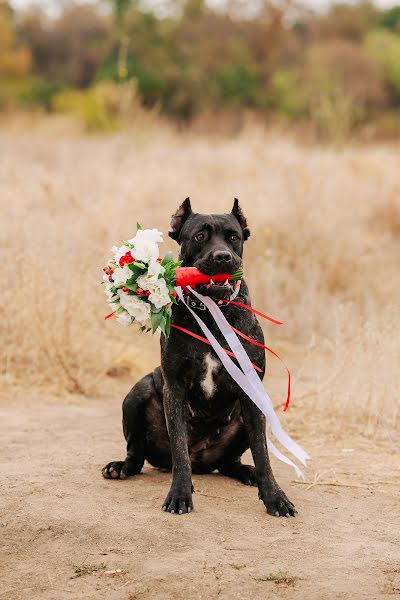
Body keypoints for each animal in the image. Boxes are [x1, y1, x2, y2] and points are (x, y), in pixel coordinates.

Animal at [102, 199, 296, 516]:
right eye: (200, 236)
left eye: (234, 237)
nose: (222, 257)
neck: (211, 311)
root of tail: (204, 461)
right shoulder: (175, 388)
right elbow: (180, 451)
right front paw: (180, 494)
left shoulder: (252, 391)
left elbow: (263, 453)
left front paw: (275, 496)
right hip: (137, 393)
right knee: (137, 453)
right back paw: (120, 467)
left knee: (230, 462)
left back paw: (247, 472)